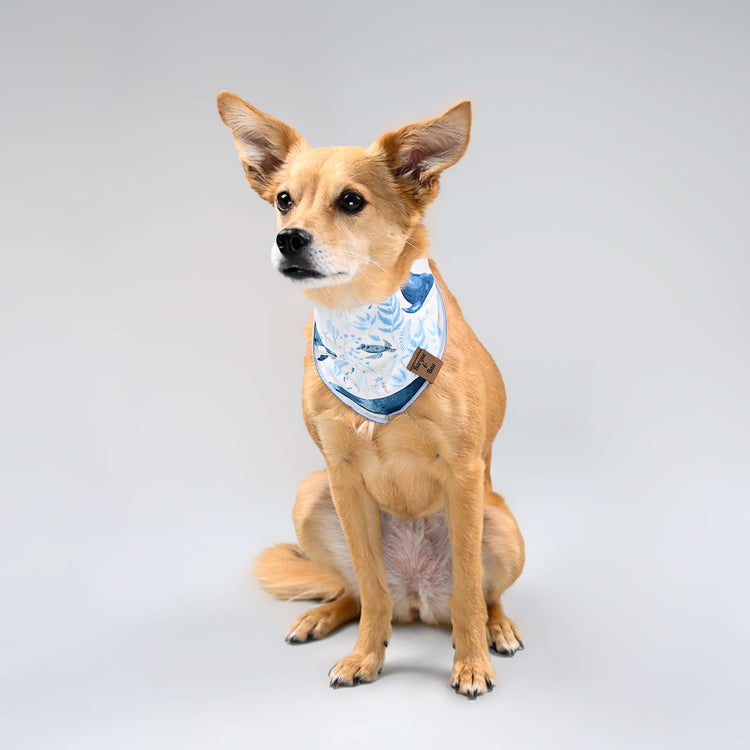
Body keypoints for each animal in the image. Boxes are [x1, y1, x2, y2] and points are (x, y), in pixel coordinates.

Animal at [216, 92, 524, 700]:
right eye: (284, 201)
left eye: (351, 201)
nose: (288, 238)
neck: (364, 325)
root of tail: (419, 600)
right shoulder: (341, 476)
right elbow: (370, 587)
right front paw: (366, 656)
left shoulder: (463, 473)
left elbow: (468, 592)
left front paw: (471, 662)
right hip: (311, 494)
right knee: (359, 592)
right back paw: (325, 616)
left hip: (501, 521)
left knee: (482, 596)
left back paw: (497, 628)